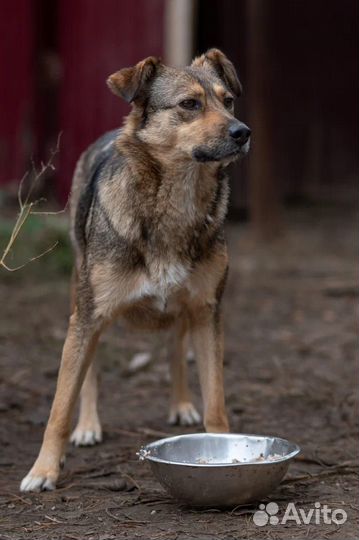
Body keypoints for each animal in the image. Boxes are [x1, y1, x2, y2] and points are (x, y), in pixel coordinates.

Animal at [19, 50, 250, 494]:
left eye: (228, 100)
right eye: (189, 104)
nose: (243, 132)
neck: (176, 203)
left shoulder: (207, 310)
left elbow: (216, 402)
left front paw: (220, 451)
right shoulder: (88, 318)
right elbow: (59, 407)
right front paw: (43, 470)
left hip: (184, 310)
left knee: (176, 347)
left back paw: (181, 403)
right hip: (80, 298)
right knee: (90, 371)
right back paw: (88, 426)